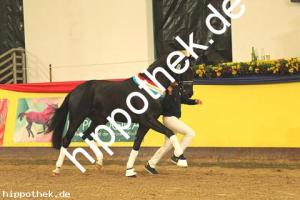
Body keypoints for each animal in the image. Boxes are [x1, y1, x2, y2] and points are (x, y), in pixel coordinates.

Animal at [48, 54, 195, 177]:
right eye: (184, 69)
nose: (189, 93)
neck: (149, 88)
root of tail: (75, 90)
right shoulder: (148, 120)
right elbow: (171, 133)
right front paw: (181, 160)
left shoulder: (145, 124)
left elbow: (136, 145)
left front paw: (130, 170)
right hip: (77, 117)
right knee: (66, 140)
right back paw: (57, 169)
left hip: (99, 119)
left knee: (86, 135)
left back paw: (99, 162)